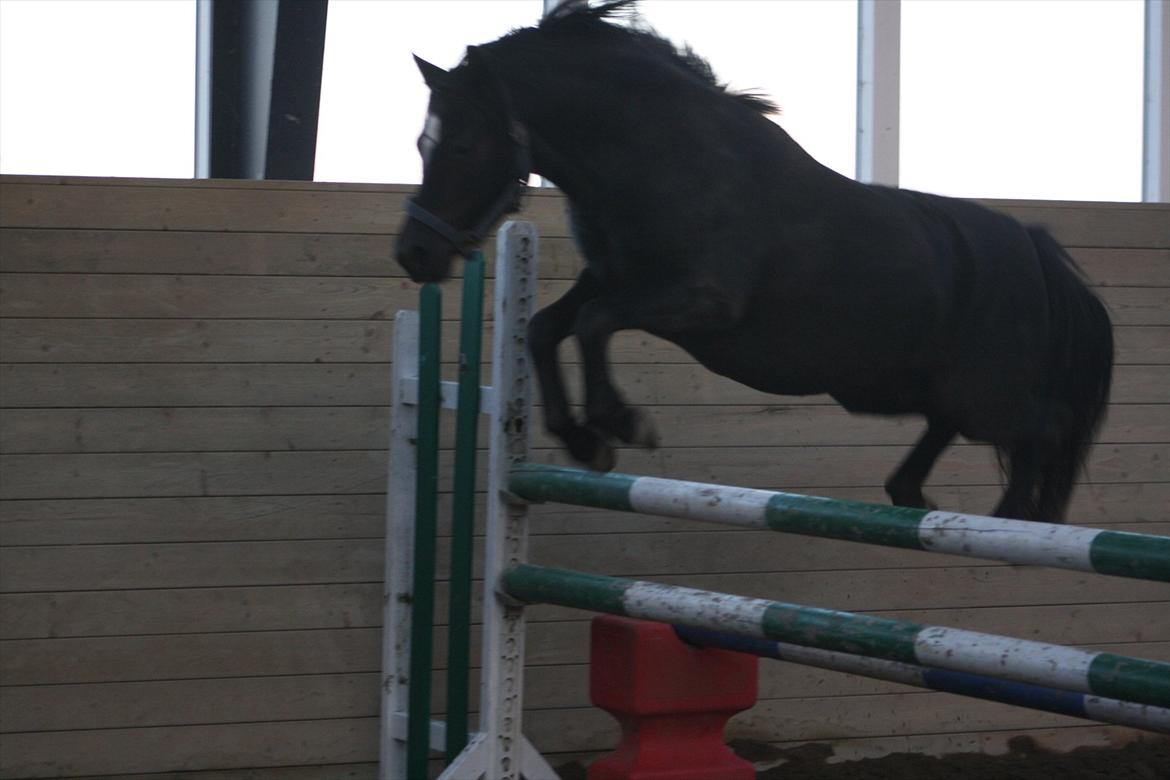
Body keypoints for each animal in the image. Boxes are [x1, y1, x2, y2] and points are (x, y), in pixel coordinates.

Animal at [395, 0, 1113, 523]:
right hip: (916, 389)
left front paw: (620, 423)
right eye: (422, 142)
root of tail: (1034, 250)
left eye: (460, 145)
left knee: (1046, 429)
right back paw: (916, 495)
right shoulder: (613, 278)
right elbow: (549, 327)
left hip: (983, 396)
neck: (656, 157)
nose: (414, 253)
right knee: (948, 437)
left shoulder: (702, 301)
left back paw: (1014, 518)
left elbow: (596, 324)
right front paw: (584, 441)